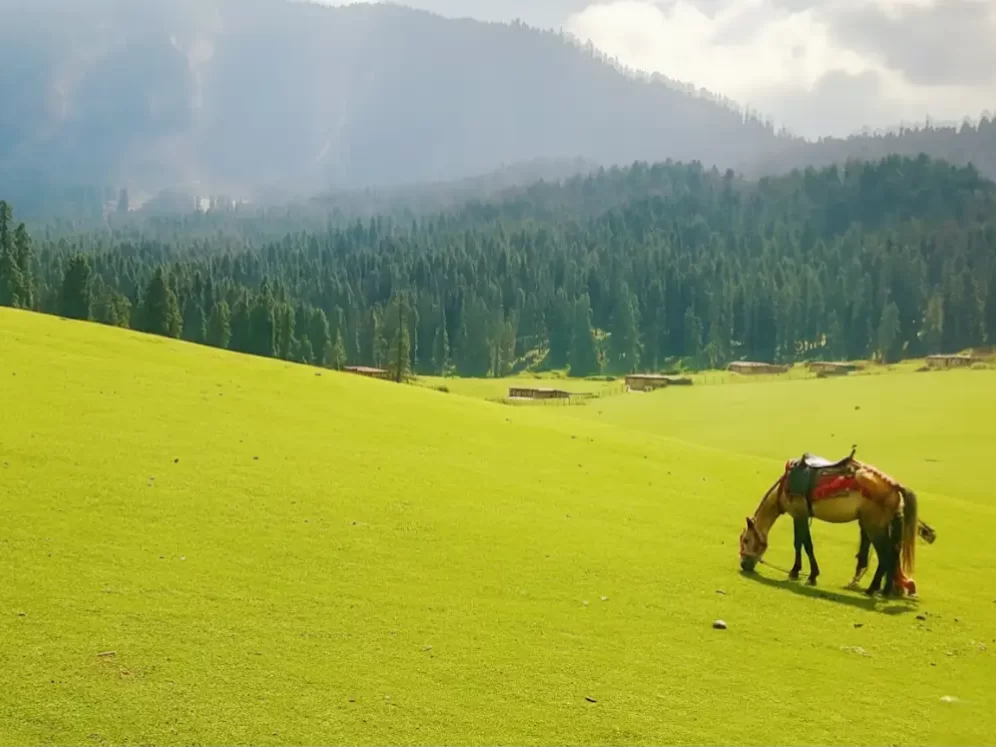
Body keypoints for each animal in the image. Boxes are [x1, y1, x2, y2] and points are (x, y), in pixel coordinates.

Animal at [738, 450, 936, 596]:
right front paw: (802, 573)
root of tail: (894, 486)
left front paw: (804, 574)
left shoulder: (799, 514)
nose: (743, 564)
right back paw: (884, 589)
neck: (782, 490)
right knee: (891, 554)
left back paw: (874, 589)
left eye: (746, 540)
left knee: (886, 555)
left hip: (874, 527)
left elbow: (803, 544)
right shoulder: (801, 516)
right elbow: (801, 543)